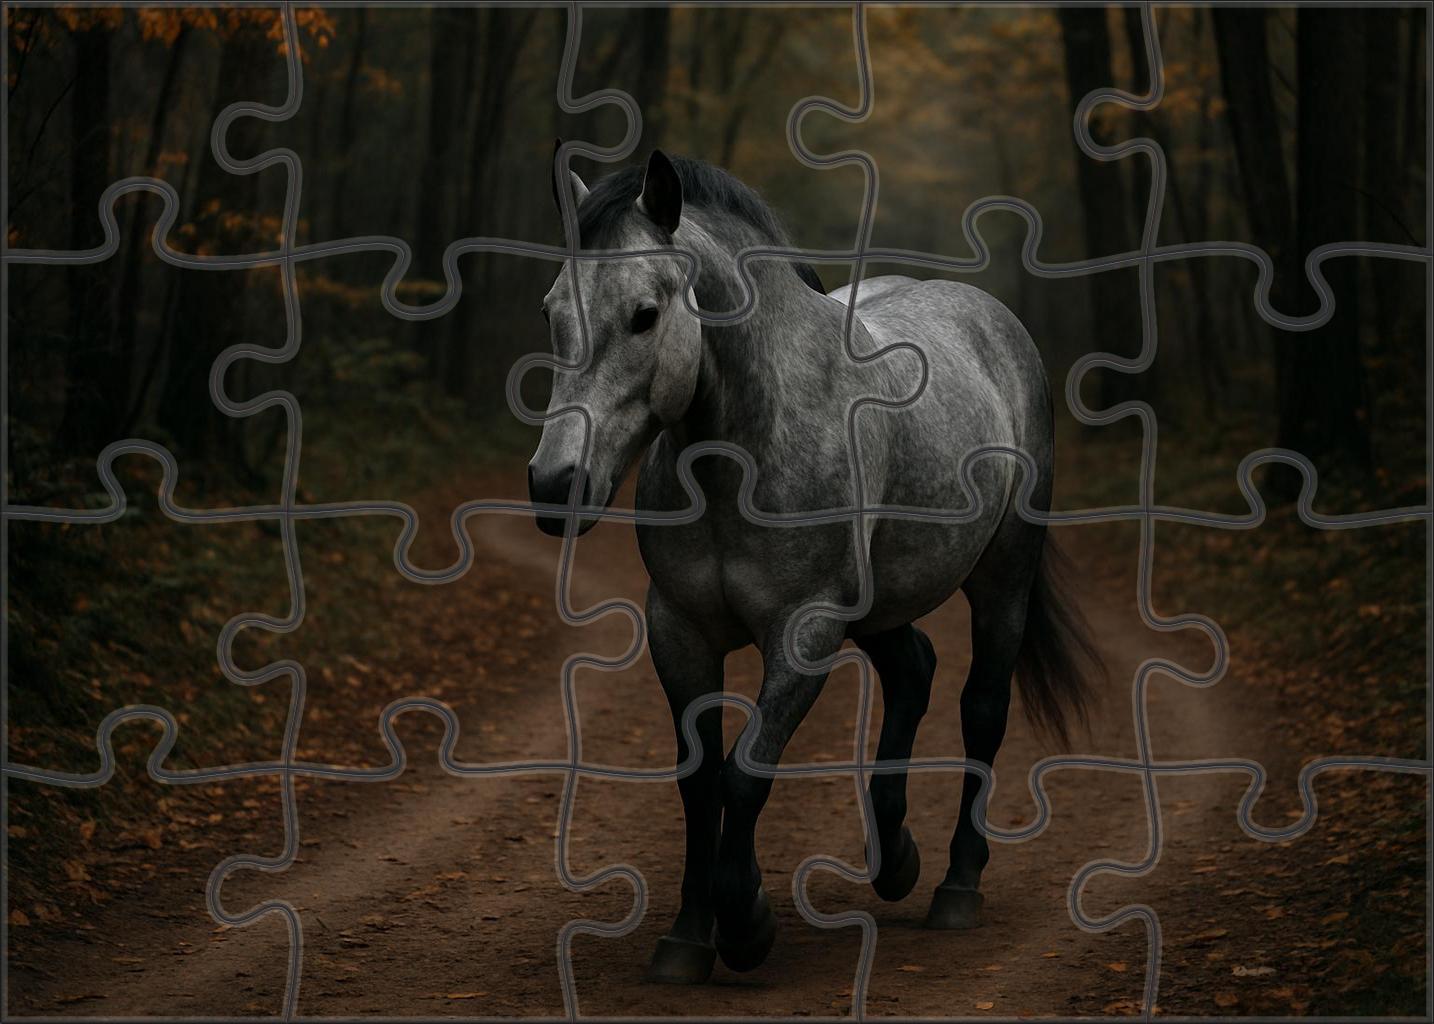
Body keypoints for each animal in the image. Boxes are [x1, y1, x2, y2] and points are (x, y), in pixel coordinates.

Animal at [525, 148, 1101, 984]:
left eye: (643, 314)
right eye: (551, 313)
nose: (554, 486)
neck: (743, 450)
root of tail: (990, 318)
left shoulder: (805, 632)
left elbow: (746, 772)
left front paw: (745, 924)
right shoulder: (680, 630)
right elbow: (699, 781)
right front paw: (688, 936)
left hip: (1002, 579)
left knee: (982, 709)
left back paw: (957, 887)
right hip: (880, 604)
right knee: (913, 672)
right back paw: (893, 859)